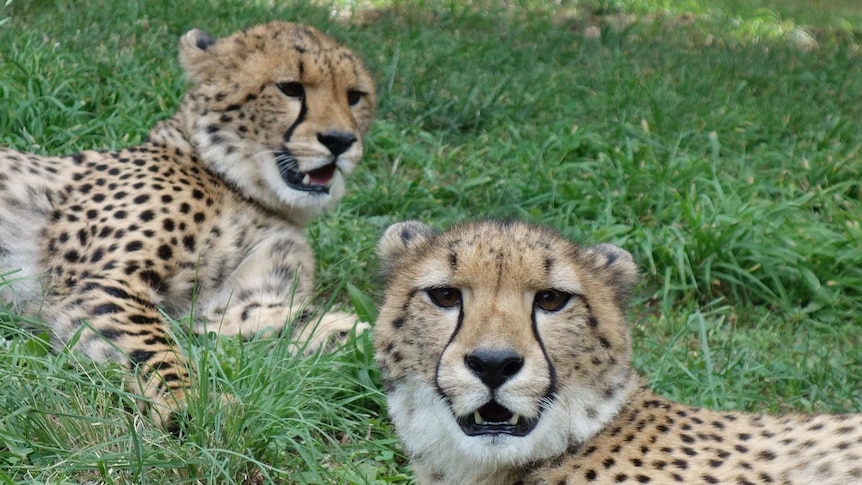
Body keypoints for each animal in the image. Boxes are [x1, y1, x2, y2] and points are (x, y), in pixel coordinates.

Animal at [0, 20, 378, 430]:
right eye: (290, 88)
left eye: (355, 97)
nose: (340, 141)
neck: (242, 187)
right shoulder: (106, 285)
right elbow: (157, 348)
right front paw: (194, 403)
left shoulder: (218, 309)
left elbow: (314, 324)